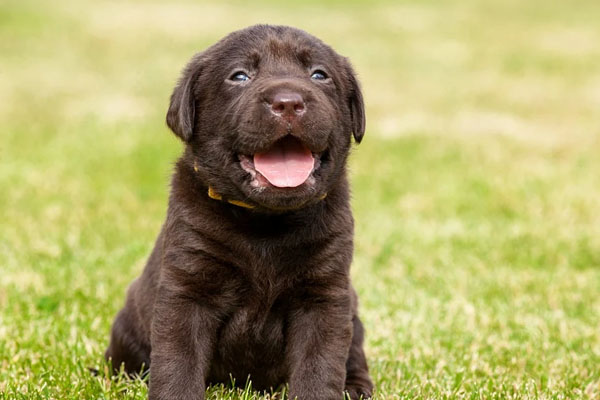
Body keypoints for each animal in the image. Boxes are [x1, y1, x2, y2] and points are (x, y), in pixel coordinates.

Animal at [105, 25, 372, 400]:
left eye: (319, 75)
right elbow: (178, 362)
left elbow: (320, 365)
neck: (265, 223)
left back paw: (355, 387)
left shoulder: (325, 295)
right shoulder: (187, 289)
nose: (288, 102)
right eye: (240, 76)